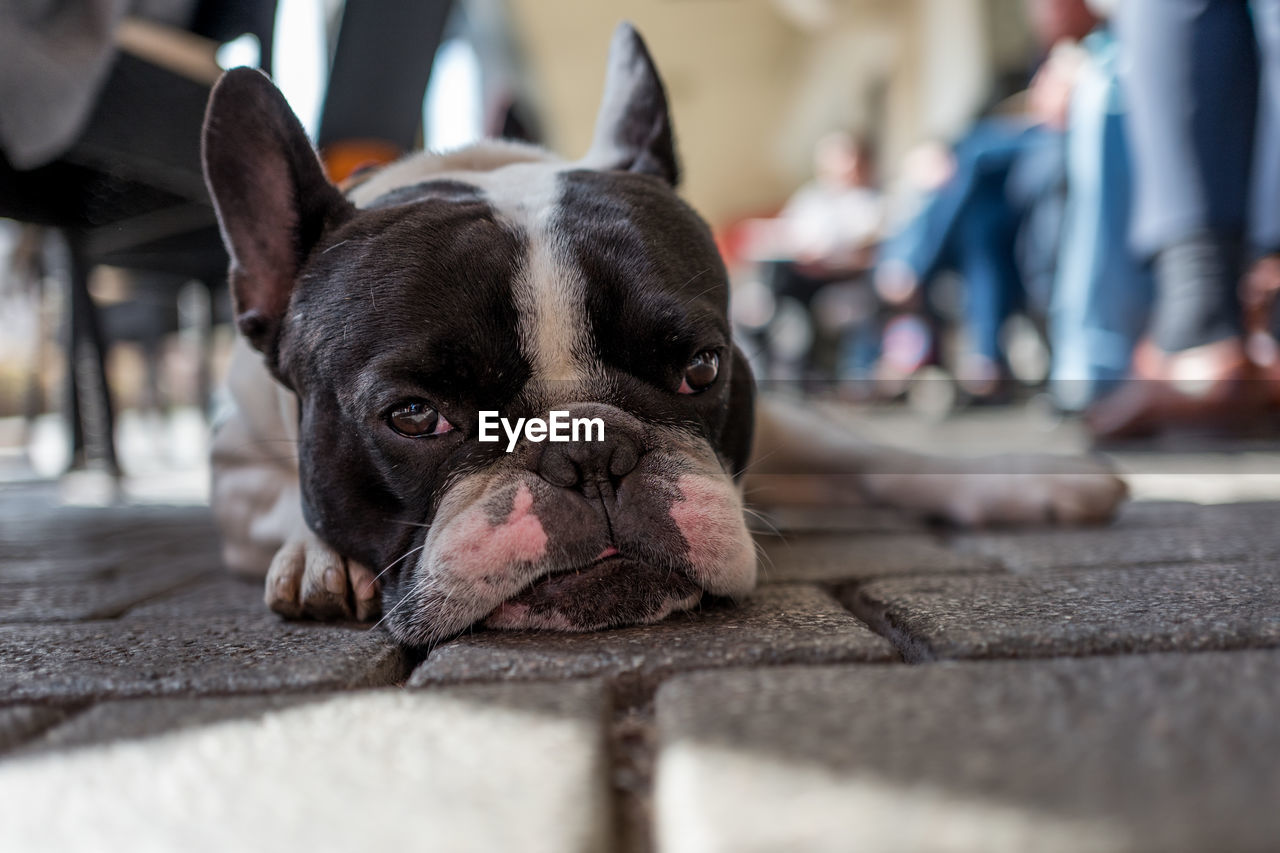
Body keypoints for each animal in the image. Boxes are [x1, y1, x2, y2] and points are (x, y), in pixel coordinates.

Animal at [202, 21, 1131, 645]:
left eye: (701, 368)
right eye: (413, 415)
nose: (590, 451)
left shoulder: (778, 412)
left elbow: (872, 454)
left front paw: (1019, 479)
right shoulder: (235, 464)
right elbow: (281, 500)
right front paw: (316, 555)